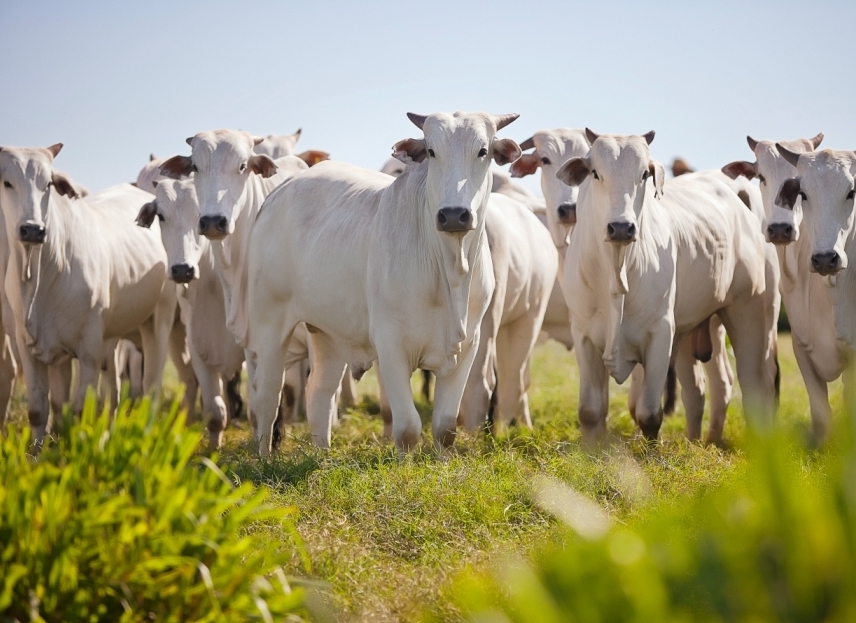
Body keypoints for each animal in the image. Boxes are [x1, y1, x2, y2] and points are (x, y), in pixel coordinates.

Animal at [0, 145, 176, 444]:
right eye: (6, 182)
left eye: (48, 183)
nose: (33, 229)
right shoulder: (30, 347)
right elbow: (43, 410)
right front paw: (39, 452)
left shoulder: (88, 348)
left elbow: (81, 410)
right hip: (111, 337)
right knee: (113, 391)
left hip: (158, 321)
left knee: (150, 387)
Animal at [244, 111, 520, 454]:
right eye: (431, 151)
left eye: (483, 151)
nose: (454, 215)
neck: (450, 271)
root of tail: (279, 193)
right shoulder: (390, 345)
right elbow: (407, 429)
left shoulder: (468, 344)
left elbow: (445, 428)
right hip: (269, 324)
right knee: (267, 398)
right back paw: (264, 457)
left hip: (327, 333)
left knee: (318, 393)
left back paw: (322, 454)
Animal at [556, 130, 776, 444]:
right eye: (595, 173)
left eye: (644, 174)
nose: (621, 227)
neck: (616, 272)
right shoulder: (584, 335)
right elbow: (590, 411)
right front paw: (589, 450)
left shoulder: (661, 333)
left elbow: (649, 414)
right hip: (693, 329)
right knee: (702, 389)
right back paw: (701, 441)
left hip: (749, 314)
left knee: (754, 385)